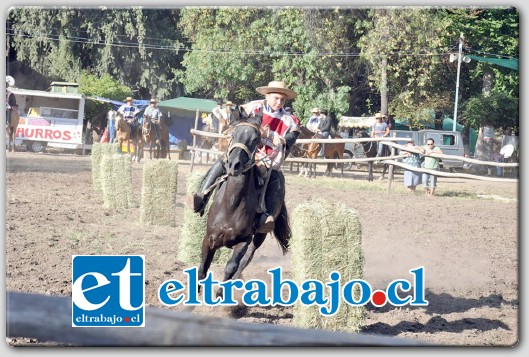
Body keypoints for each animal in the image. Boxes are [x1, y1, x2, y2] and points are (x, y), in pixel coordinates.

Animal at [196, 116, 290, 294]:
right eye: (233, 135)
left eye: (256, 140)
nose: (234, 164)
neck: (231, 205)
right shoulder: (209, 238)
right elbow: (202, 269)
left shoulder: (243, 242)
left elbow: (231, 267)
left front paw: (220, 293)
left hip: (259, 236)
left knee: (246, 259)